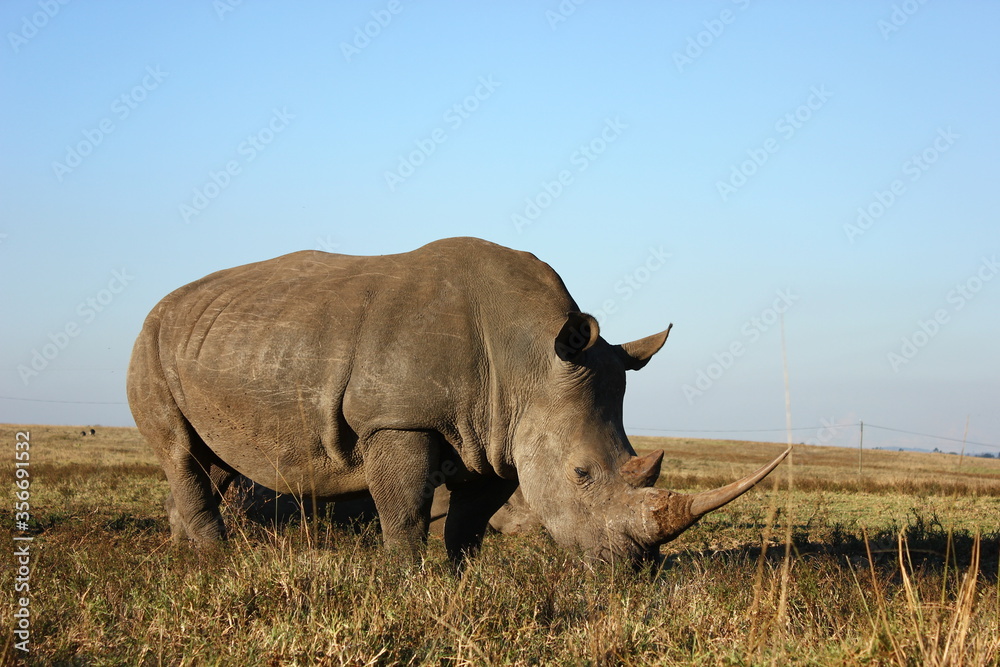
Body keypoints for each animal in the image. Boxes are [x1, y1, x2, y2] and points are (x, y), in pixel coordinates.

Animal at [128, 237, 787, 565]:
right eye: (580, 475)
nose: (630, 567)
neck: (529, 359)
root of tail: (166, 301)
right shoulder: (397, 419)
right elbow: (406, 510)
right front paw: (404, 581)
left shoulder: (499, 435)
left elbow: (469, 520)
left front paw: (458, 575)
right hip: (150, 341)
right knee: (180, 450)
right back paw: (214, 561)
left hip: (216, 341)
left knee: (211, 462)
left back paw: (183, 554)